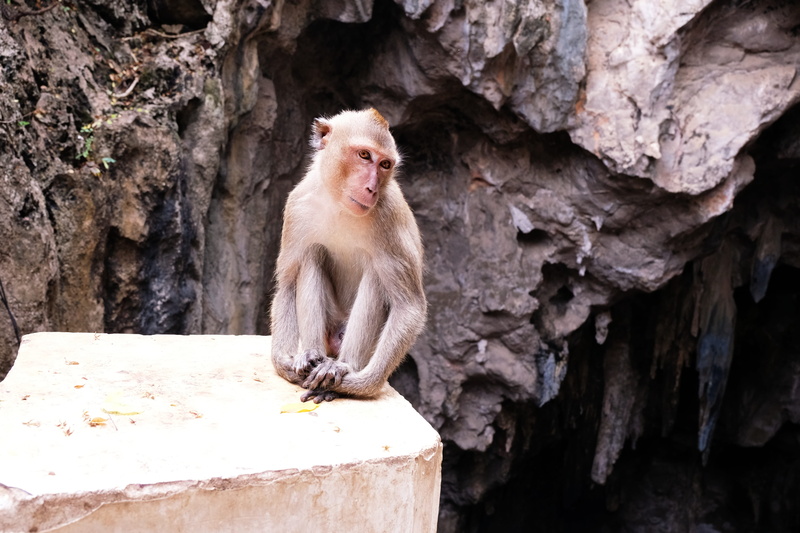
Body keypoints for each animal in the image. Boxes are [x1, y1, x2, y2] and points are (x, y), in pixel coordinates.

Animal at [270, 108, 427, 403]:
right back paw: (311, 355)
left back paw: (340, 367)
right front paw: (285, 363)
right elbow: (286, 284)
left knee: (377, 272)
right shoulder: (296, 207)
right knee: (311, 254)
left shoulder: (389, 217)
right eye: (364, 155)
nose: (372, 189)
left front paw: (359, 384)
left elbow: (409, 306)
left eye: (385, 164)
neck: (339, 204)